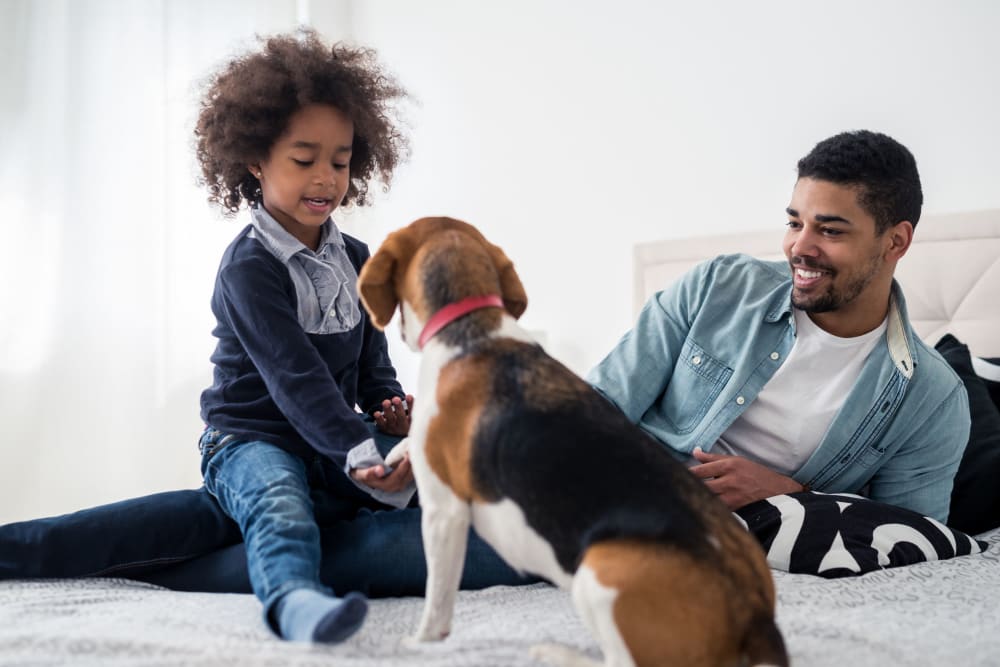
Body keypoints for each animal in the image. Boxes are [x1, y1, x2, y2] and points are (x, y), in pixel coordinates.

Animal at [356, 217, 784, 664]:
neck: (470, 326)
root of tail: (755, 613)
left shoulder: (444, 511)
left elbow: (437, 598)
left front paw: (420, 642)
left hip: (598, 571)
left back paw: (556, 652)